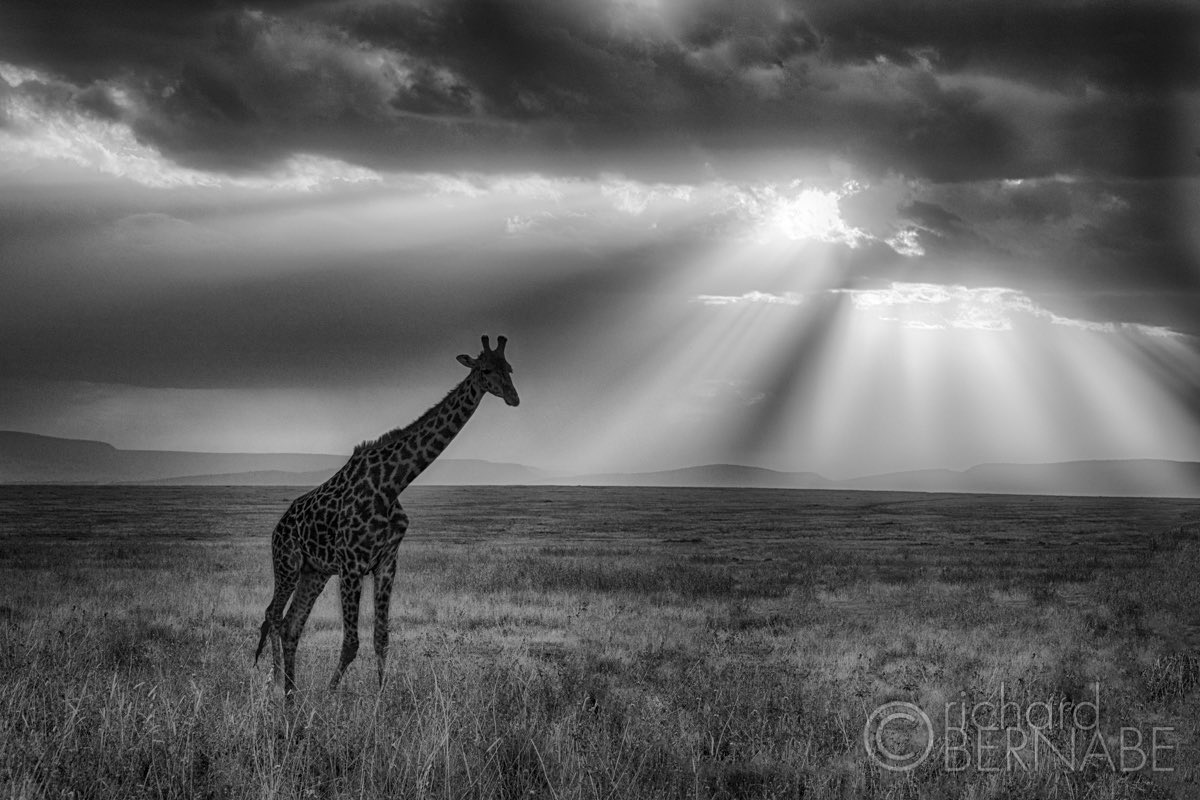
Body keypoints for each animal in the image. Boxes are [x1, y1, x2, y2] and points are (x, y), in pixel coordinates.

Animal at [254, 335, 520, 699]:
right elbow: (351, 642)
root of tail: (277, 528)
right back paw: (276, 684)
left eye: (509, 368)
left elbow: (382, 639)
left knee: (291, 625)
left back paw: (292, 694)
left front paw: (380, 701)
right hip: (288, 564)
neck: (392, 483)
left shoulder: (386, 562)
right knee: (274, 614)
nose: (513, 397)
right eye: (485, 370)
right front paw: (329, 696)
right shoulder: (352, 564)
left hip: (315, 572)